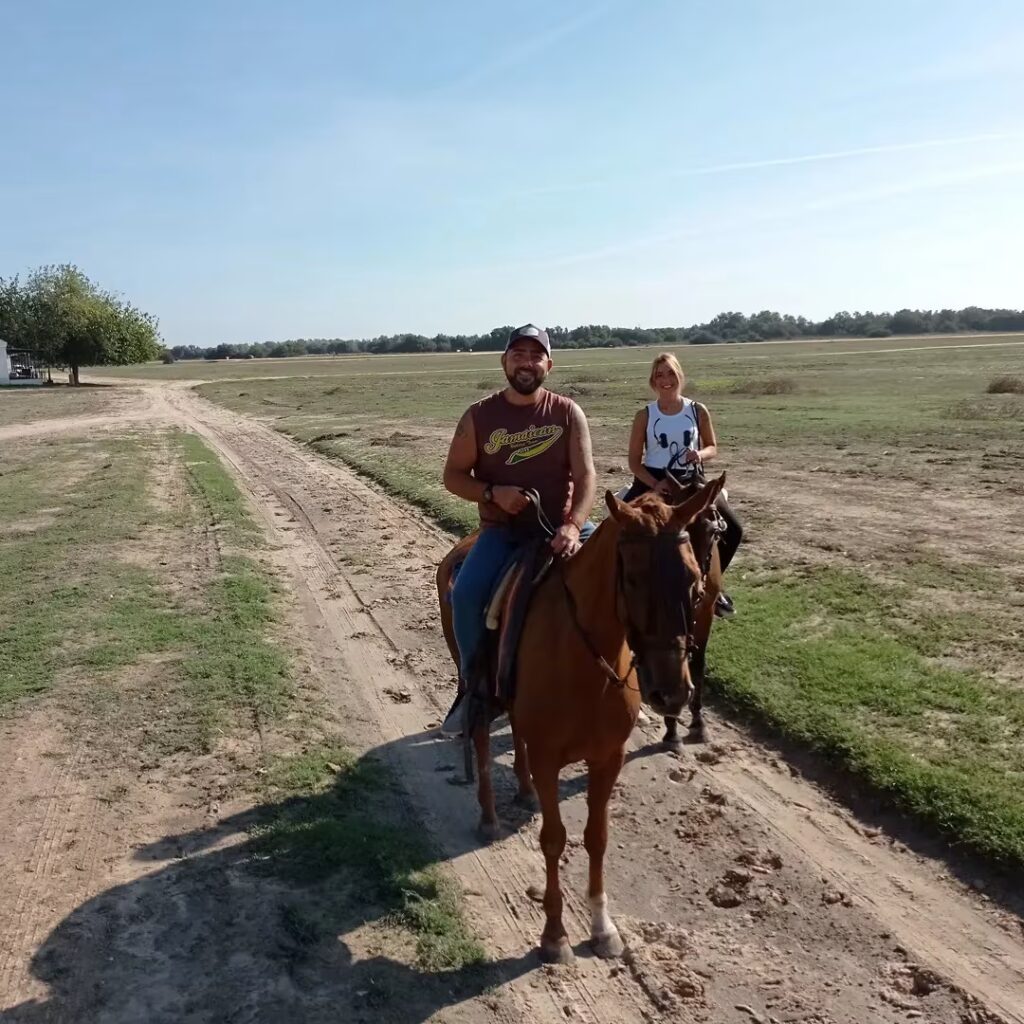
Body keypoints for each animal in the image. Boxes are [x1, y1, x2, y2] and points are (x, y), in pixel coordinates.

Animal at [436, 475, 724, 962]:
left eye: (693, 578)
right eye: (633, 577)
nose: (672, 691)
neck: (586, 654)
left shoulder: (608, 757)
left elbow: (597, 836)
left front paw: (602, 927)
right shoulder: (550, 757)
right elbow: (554, 839)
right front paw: (554, 934)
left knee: (515, 732)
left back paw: (525, 791)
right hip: (475, 682)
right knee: (479, 735)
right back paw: (490, 816)